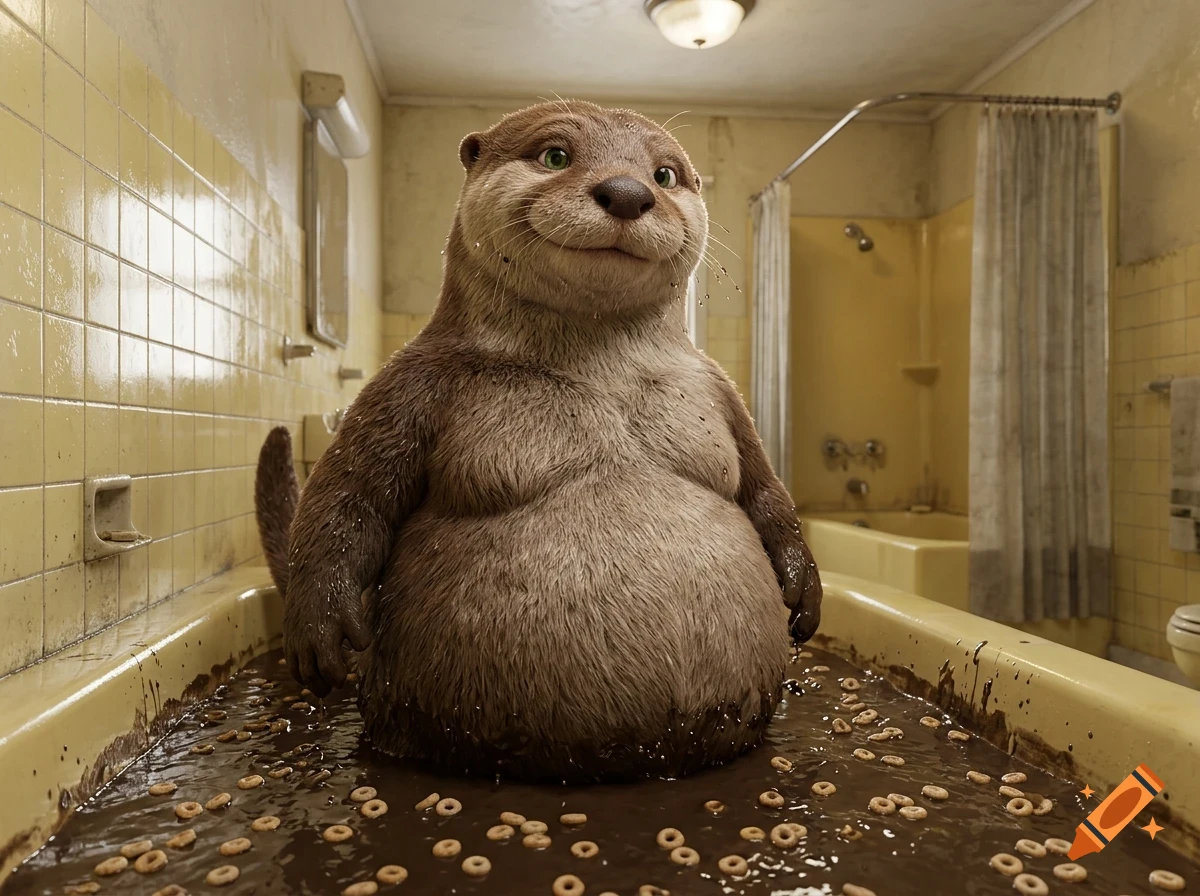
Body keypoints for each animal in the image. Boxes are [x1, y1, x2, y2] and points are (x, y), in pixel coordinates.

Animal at [255, 100, 821, 783]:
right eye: (555, 155)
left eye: (663, 173)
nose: (627, 192)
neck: (595, 369)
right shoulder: (409, 381)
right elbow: (347, 494)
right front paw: (319, 629)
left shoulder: (720, 390)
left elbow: (766, 489)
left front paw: (803, 590)